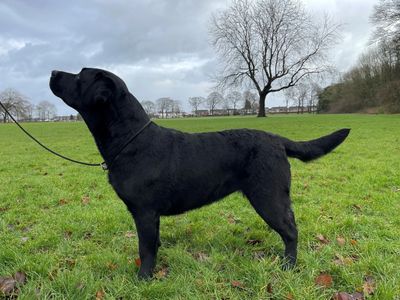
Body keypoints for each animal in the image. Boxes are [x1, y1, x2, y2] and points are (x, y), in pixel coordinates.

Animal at [50, 68, 350, 278]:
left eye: (79, 75)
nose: (53, 72)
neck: (130, 139)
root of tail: (276, 139)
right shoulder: (150, 215)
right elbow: (154, 244)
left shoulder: (145, 212)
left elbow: (144, 248)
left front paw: (143, 278)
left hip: (268, 196)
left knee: (290, 231)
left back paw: (288, 266)